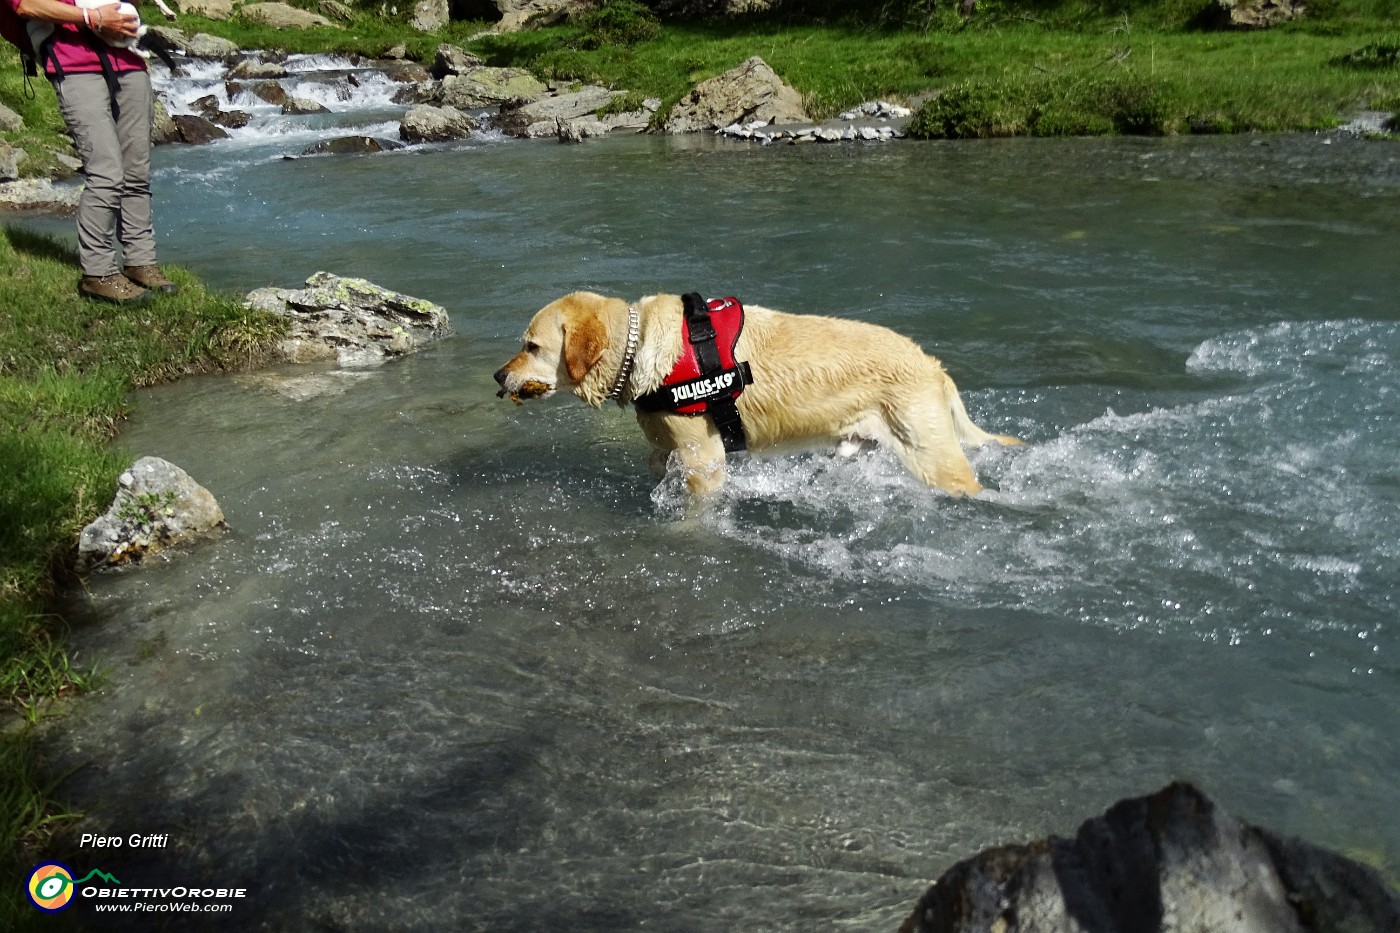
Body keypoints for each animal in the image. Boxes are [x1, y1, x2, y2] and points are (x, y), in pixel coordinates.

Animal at [498, 291, 1024, 493]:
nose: (499, 377)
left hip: (933, 456)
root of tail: (932, 365)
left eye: (531, 346)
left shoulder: (705, 458)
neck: (638, 342)